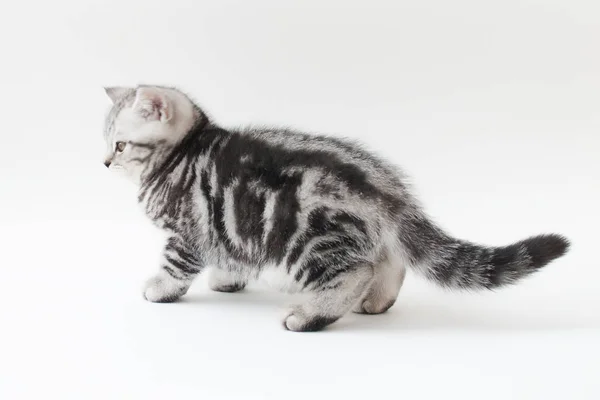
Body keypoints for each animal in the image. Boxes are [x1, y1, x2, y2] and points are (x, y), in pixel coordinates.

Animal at [104, 84, 572, 332]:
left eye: (121, 144)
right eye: (107, 142)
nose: (105, 162)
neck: (184, 153)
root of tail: (387, 187)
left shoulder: (188, 230)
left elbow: (175, 263)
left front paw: (160, 288)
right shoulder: (226, 228)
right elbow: (231, 252)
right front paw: (227, 279)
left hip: (306, 240)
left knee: (355, 271)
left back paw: (309, 314)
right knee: (389, 260)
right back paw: (378, 301)